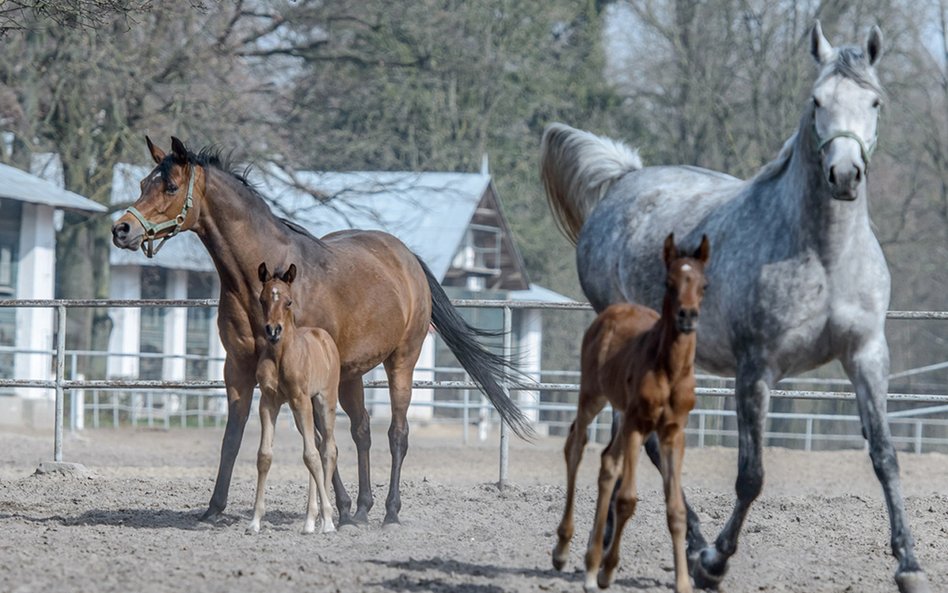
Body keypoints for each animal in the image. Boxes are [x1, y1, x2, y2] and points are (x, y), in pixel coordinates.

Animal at [248, 262, 340, 536]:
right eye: (262, 299)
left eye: (288, 301)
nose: (273, 331)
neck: (281, 355)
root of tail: (324, 337)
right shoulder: (268, 402)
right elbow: (265, 456)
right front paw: (255, 521)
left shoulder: (301, 400)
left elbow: (310, 456)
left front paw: (328, 520)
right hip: (302, 410)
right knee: (318, 445)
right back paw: (309, 521)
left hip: (323, 401)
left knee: (327, 449)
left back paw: (324, 520)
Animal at [552, 232, 708, 592]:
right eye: (668, 281)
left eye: (704, 284)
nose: (687, 316)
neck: (669, 369)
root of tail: (610, 311)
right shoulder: (639, 423)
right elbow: (627, 499)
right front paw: (607, 571)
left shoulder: (673, 432)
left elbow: (675, 509)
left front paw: (683, 582)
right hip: (592, 396)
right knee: (575, 445)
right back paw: (564, 550)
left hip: (621, 411)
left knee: (608, 461)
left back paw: (590, 561)